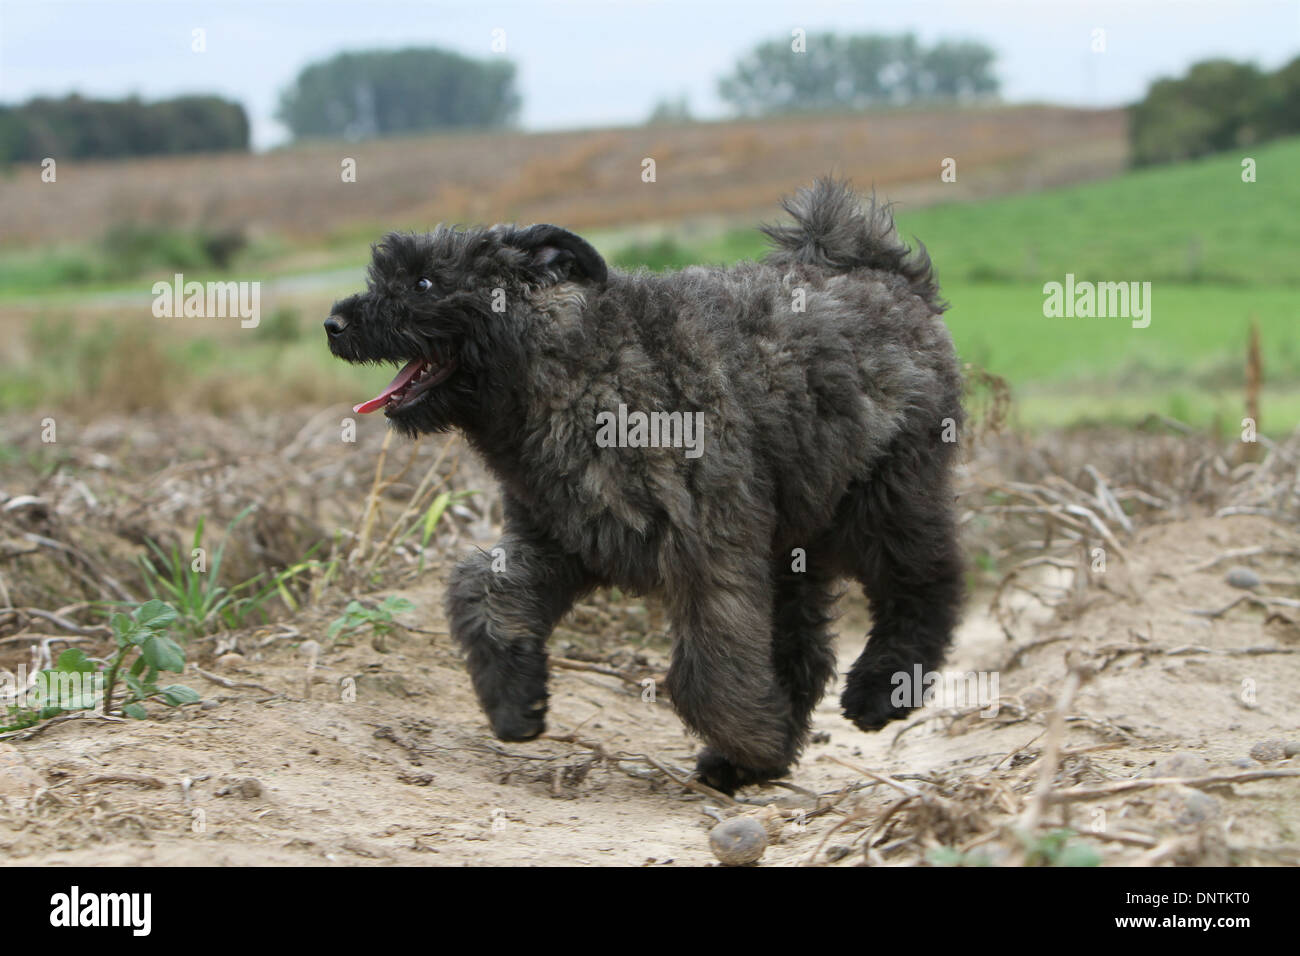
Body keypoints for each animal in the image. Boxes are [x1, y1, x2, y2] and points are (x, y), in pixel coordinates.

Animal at [327, 179, 967, 790]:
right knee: (804, 645)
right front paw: (515, 700)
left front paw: (756, 741)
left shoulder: (707, 551)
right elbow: (478, 587)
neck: (574, 367)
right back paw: (757, 755)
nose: (333, 324)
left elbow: (706, 675)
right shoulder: (555, 537)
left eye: (424, 282)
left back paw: (879, 691)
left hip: (883, 499)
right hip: (794, 540)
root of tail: (885, 273)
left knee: (927, 580)